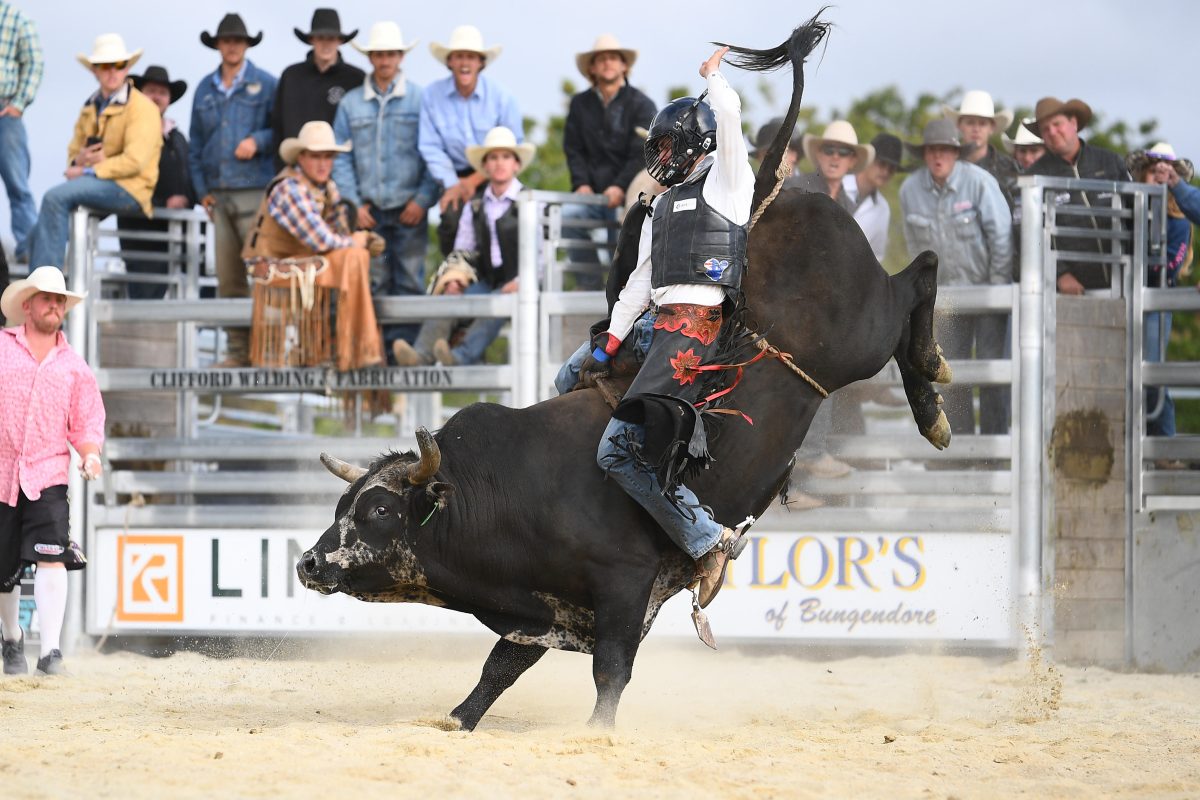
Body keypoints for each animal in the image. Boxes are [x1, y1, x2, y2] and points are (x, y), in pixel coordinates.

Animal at [297, 14, 951, 731]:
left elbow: (610, 672)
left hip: (860, 334)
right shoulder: (544, 607)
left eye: (382, 509)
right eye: (342, 505)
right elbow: (500, 668)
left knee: (919, 275)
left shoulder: (623, 586)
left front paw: (598, 734)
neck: (502, 487)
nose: (309, 563)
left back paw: (931, 398)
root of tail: (772, 196)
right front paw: (458, 720)